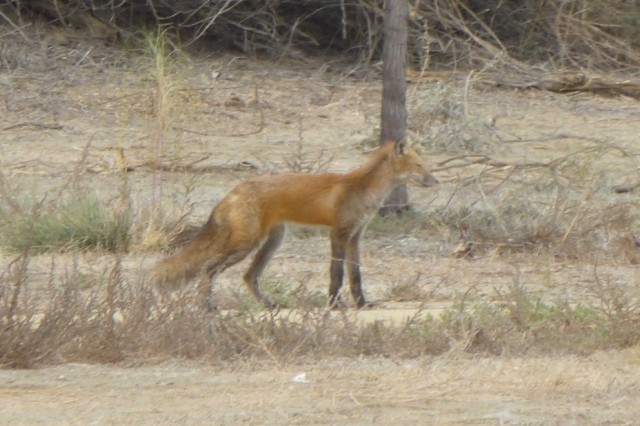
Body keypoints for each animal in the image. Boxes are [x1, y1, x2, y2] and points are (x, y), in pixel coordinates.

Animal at [152, 140, 438, 310]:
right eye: (419, 165)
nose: (436, 181)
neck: (361, 189)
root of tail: (235, 189)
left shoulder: (355, 236)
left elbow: (355, 275)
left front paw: (362, 304)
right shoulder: (338, 234)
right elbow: (336, 274)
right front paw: (334, 304)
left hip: (272, 241)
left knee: (249, 276)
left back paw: (269, 305)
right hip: (246, 243)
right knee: (209, 268)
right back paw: (207, 306)